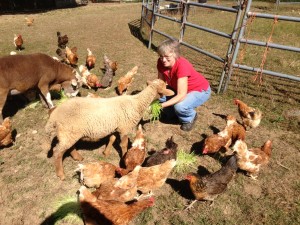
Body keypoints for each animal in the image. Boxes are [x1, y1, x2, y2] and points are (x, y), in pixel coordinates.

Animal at [44, 79, 173, 181]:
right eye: (164, 87)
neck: (137, 103)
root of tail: (54, 115)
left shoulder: (115, 127)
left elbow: (111, 139)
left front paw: (106, 153)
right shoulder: (124, 128)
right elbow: (124, 145)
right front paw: (124, 157)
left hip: (70, 133)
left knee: (69, 147)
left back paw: (78, 157)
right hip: (67, 131)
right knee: (58, 152)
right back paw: (61, 174)